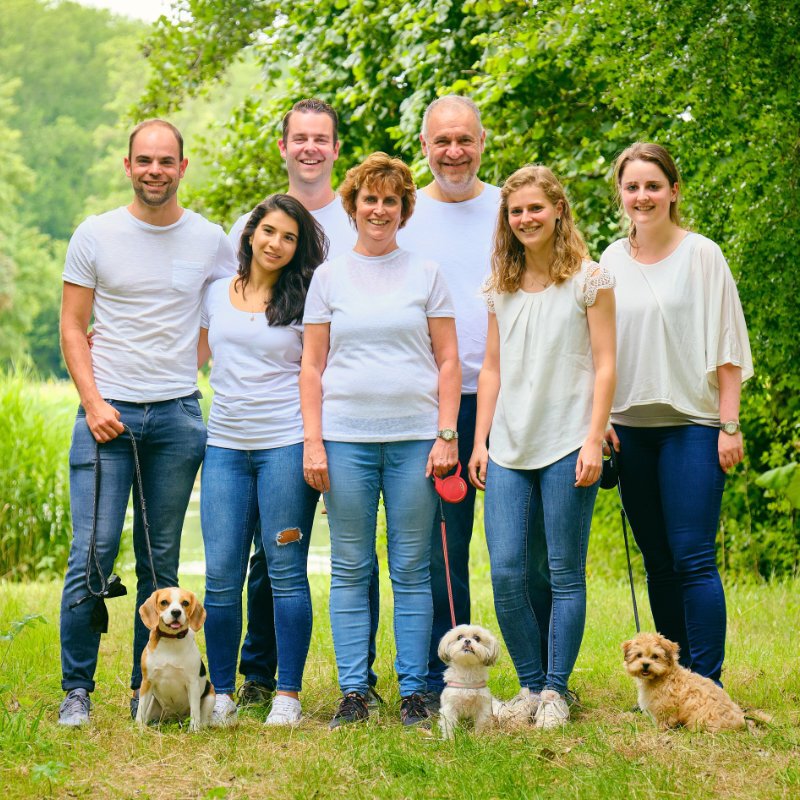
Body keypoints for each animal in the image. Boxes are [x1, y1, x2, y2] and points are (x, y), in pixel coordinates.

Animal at [137, 584, 216, 728]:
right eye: (164, 602)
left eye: (185, 603)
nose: (176, 612)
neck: (171, 639)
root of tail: (176, 717)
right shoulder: (147, 681)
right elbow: (140, 709)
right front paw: (138, 728)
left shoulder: (192, 683)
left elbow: (195, 711)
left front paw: (194, 730)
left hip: (211, 694)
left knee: (202, 717)